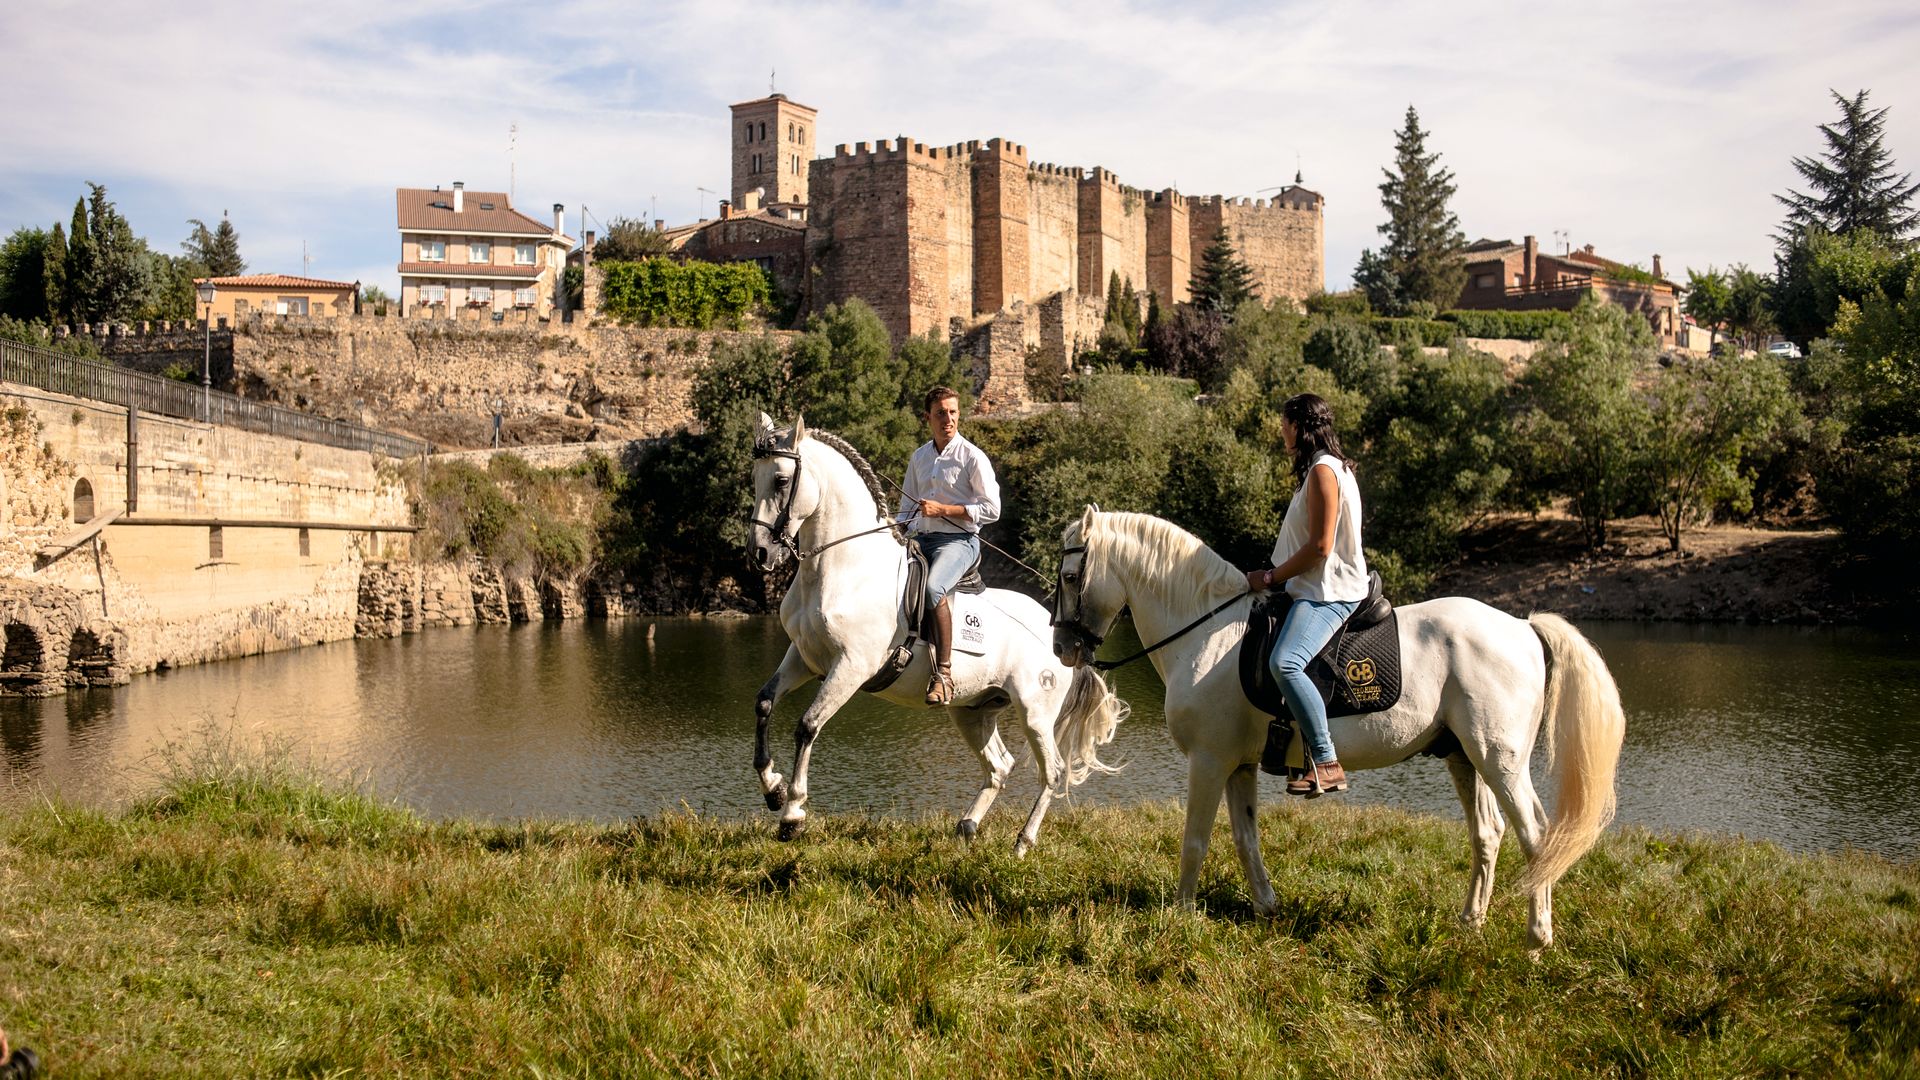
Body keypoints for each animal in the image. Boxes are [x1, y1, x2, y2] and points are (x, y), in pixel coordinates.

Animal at [737, 417, 1121, 845]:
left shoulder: (851, 667)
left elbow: (807, 725)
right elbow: (764, 702)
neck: (842, 568)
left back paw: (1023, 842)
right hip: (973, 709)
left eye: (782, 480)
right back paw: (967, 827)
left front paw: (792, 814)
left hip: (1034, 713)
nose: (759, 553)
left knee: (1051, 772)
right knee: (1000, 766)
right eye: (755, 478)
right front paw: (773, 789)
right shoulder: (804, 658)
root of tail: (1061, 633)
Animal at [1059, 503, 1628, 941]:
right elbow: (1245, 838)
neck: (1208, 635)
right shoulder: (1239, 765)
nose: (1063, 647)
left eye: (1069, 576)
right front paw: (1266, 906)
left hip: (1499, 759)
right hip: (1464, 756)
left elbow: (1195, 840)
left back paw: (1537, 938)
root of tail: (1522, 627)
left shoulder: (1209, 760)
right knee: (1488, 834)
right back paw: (1471, 923)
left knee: (1535, 833)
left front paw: (1179, 917)